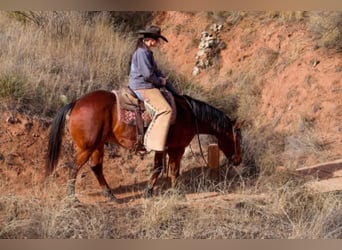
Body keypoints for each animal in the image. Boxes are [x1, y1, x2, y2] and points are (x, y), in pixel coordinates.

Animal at [45, 89, 242, 201]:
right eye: (238, 139)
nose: (238, 160)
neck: (189, 114)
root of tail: (75, 103)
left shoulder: (162, 148)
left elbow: (157, 167)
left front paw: (149, 191)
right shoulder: (177, 149)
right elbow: (174, 171)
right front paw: (177, 193)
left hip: (97, 146)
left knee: (96, 167)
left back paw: (110, 195)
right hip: (87, 147)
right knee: (74, 167)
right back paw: (72, 198)